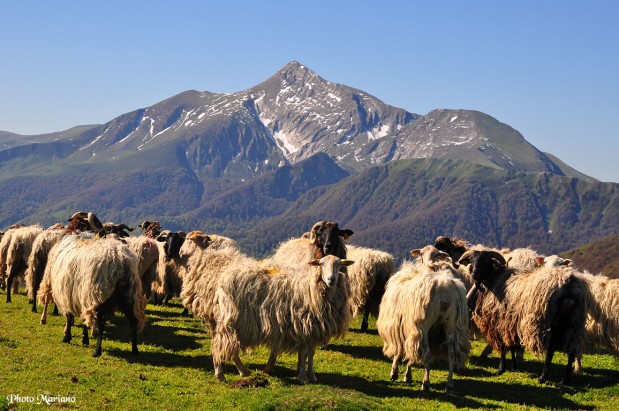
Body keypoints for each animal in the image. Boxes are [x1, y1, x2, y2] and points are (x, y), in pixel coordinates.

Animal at [211, 256, 354, 384]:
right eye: (322, 264)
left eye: (339, 265)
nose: (331, 279)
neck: (310, 289)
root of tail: (223, 279)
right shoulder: (303, 328)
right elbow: (303, 354)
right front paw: (303, 377)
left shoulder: (314, 331)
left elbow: (311, 354)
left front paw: (311, 375)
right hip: (232, 320)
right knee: (219, 345)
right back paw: (221, 375)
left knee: (231, 347)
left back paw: (242, 371)